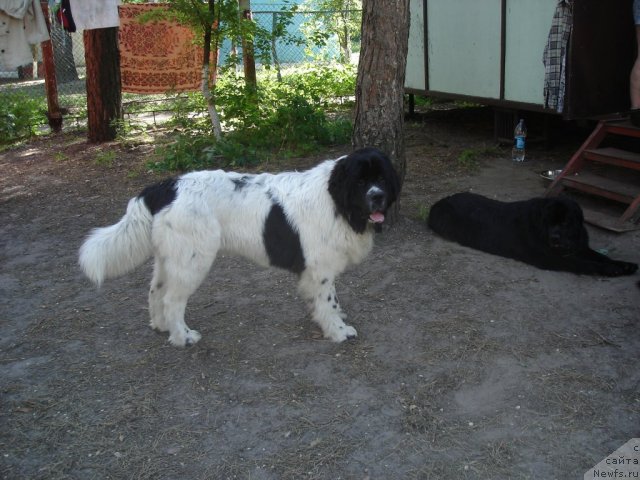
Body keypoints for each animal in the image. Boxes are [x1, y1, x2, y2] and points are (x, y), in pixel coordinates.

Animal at [80, 148, 400, 346]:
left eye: (381, 178)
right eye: (360, 181)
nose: (378, 197)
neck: (338, 202)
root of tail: (164, 187)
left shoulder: (315, 270)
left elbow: (324, 300)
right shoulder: (320, 268)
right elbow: (328, 301)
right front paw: (338, 331)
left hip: (169, 258)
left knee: (155, 291)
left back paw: (161, 326)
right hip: (193, 261)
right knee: (172, 300)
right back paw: (183, 337)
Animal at [428, 192, 636, 278]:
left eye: (565, 222)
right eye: (549, 222)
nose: (554, 238)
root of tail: (439, 202)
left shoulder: (579, 246)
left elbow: (600, 256)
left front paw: (625, 264)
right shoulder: (551, 259)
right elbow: (585, 264)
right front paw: (611, 269)